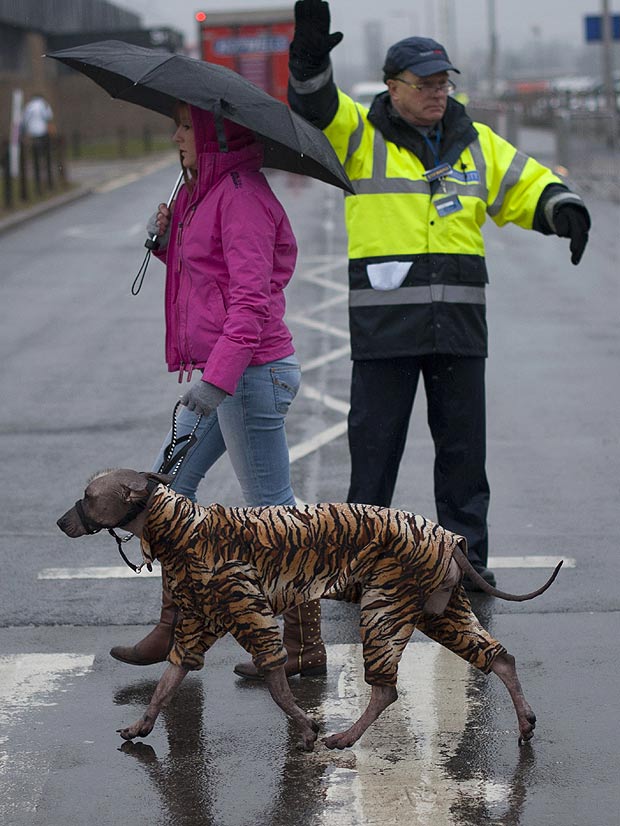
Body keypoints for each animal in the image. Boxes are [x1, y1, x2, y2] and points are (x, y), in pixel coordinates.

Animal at [59, 470, 560, 748]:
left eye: (88, 497)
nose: (60, 521)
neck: (184, 530)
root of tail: (447, 538)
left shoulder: (254, 616)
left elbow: (279, 689)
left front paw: (305, 730)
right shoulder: (195, 629)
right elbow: (165, 685)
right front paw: (140, 726)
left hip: (385, 611)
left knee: (385, 690)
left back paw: (346, 736)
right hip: (441, 614)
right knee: (500, 657)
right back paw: (525, 719)